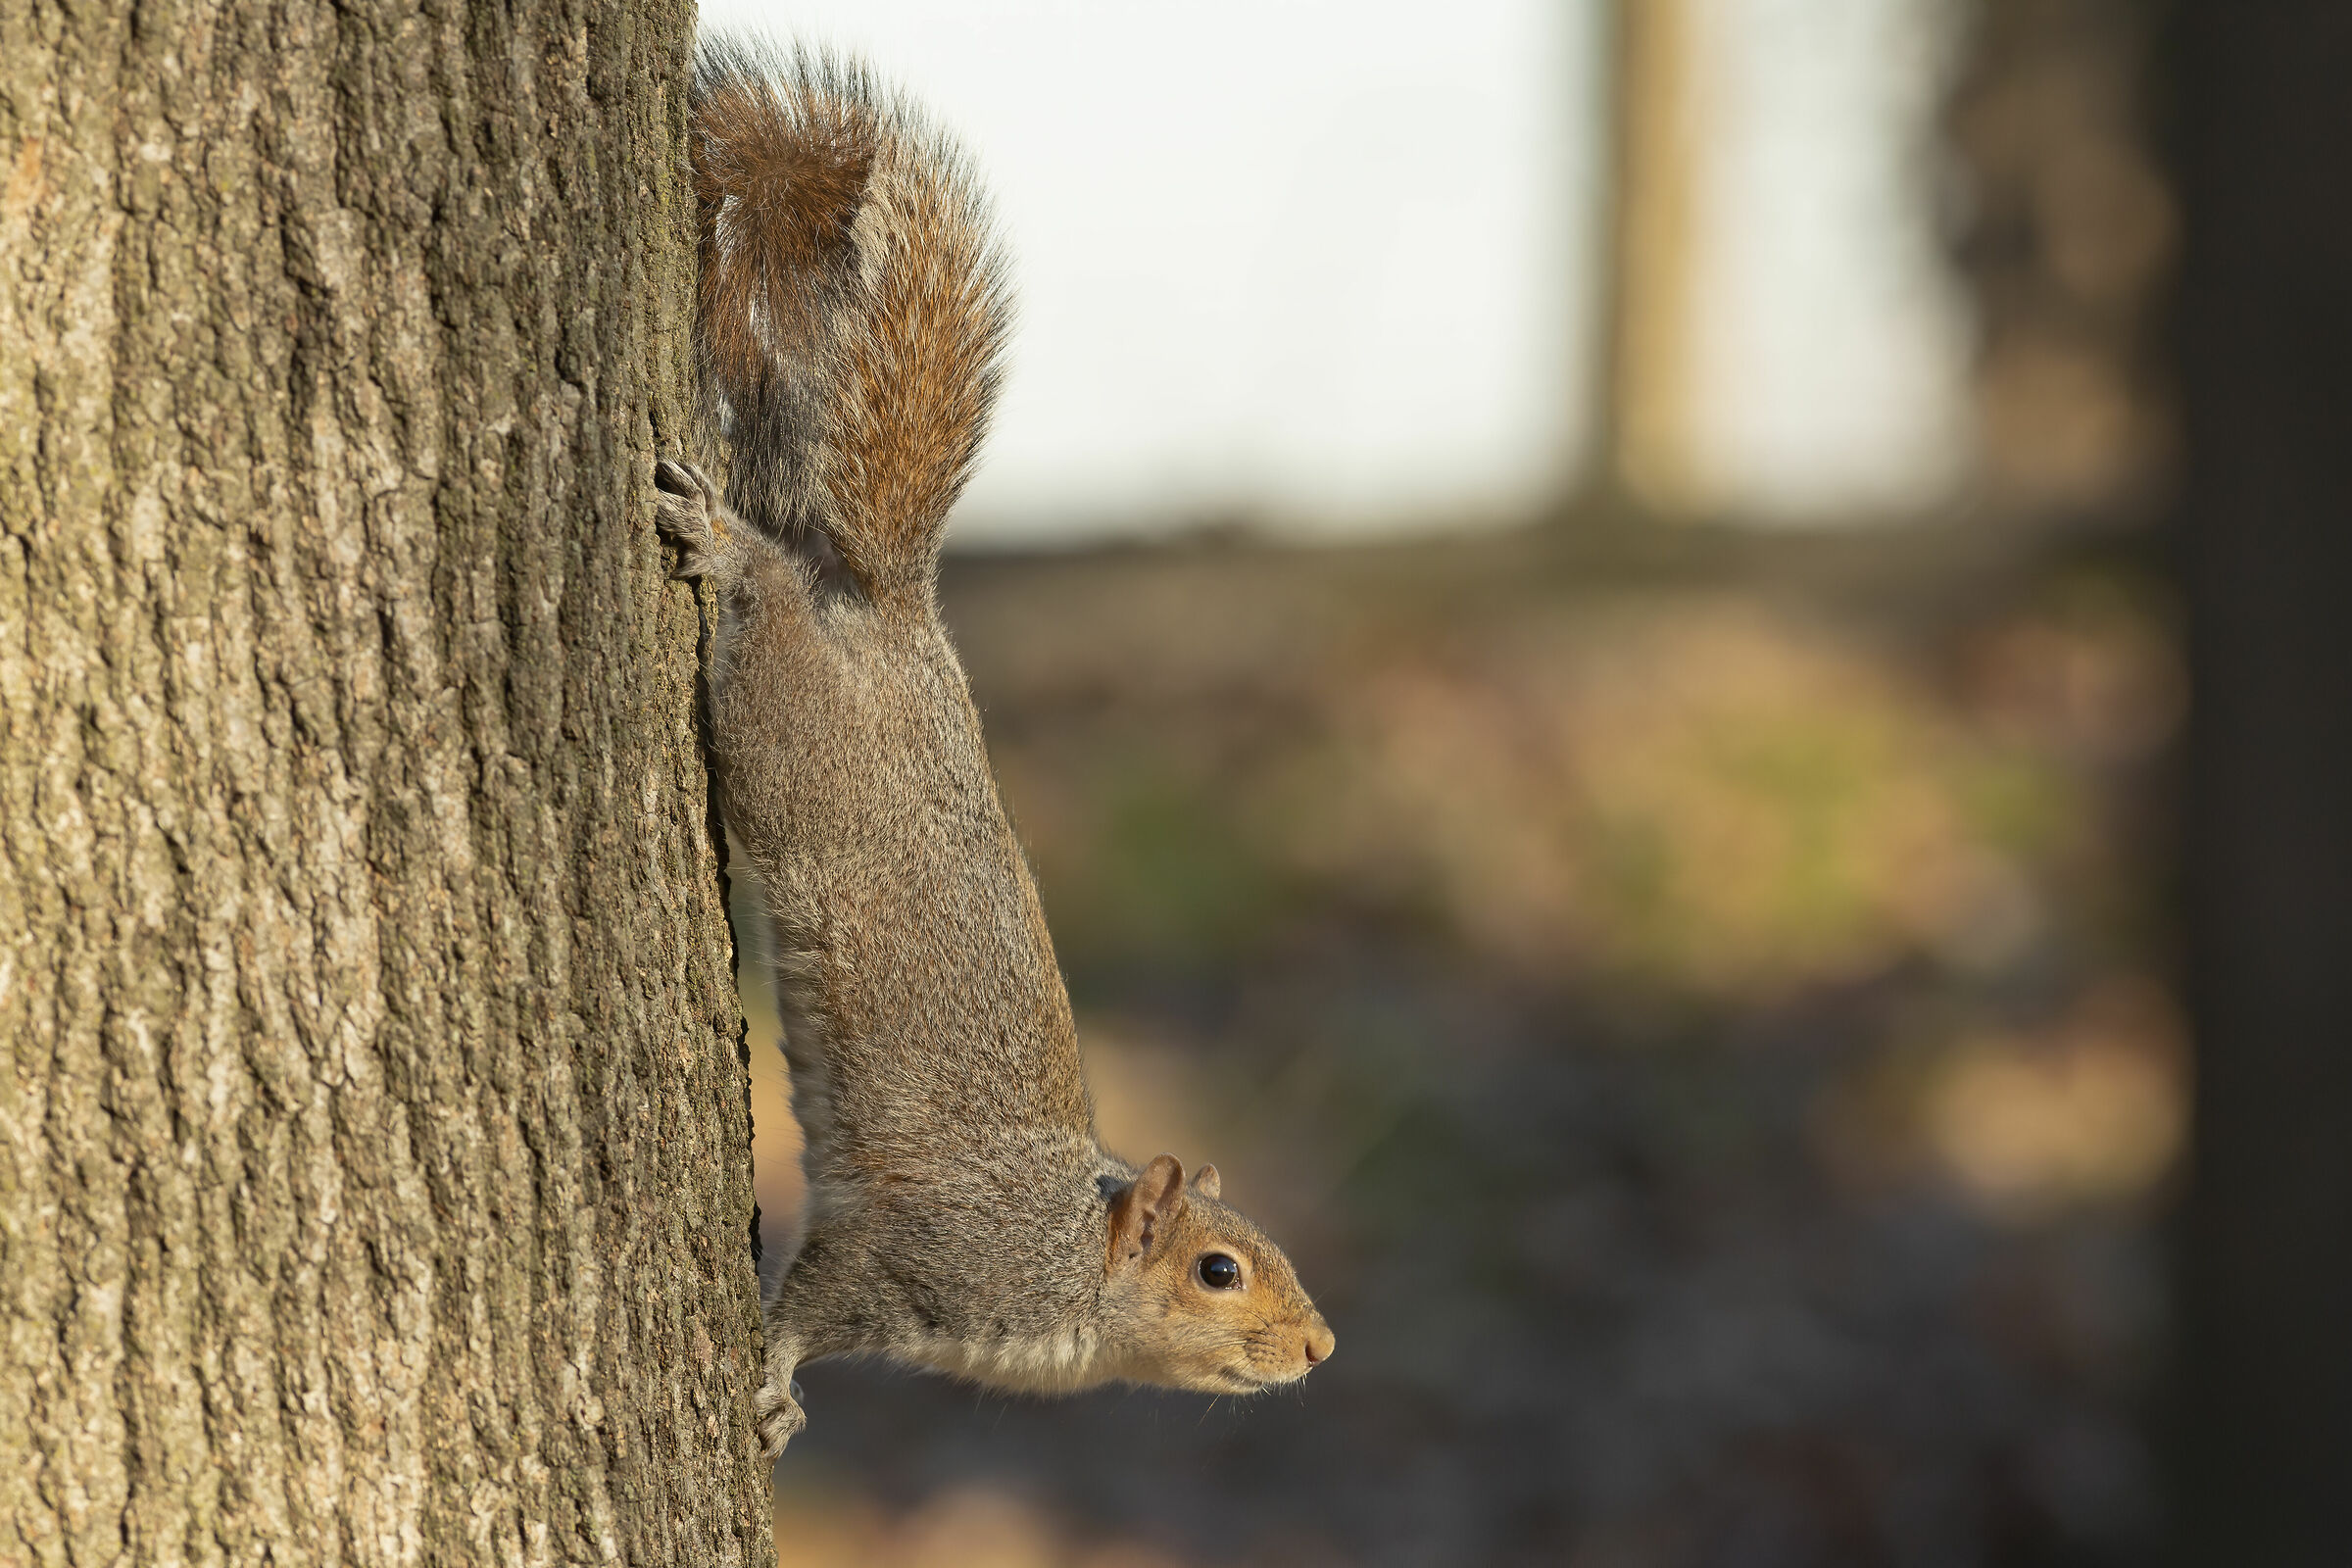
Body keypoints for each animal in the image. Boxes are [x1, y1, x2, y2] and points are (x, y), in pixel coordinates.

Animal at [655, 37, 1335, 1459]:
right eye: (1218, 1270)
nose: (1321, 1346)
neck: (1072, 1268)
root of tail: (891, 612)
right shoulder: (918, 1252)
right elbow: (817, 1292)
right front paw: (774, 1388)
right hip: (784, 731)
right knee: (765, 606)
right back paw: (727, 545)